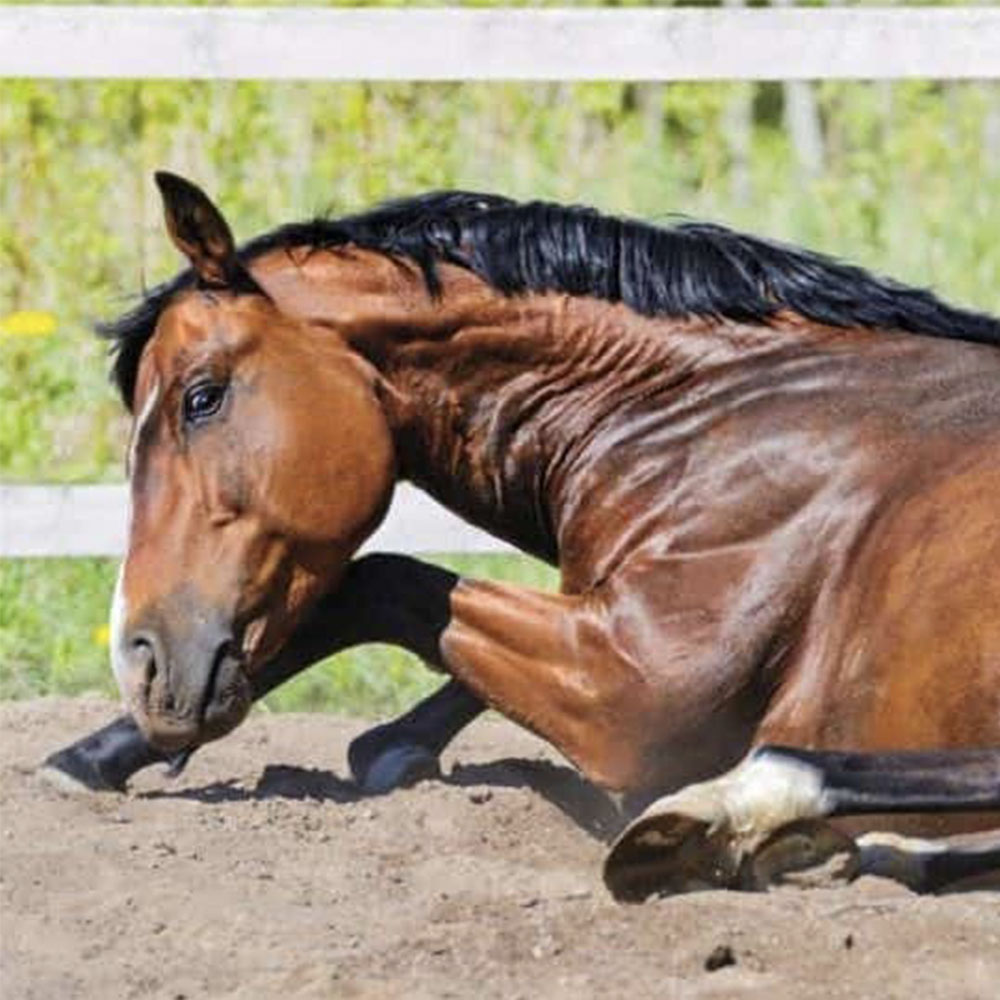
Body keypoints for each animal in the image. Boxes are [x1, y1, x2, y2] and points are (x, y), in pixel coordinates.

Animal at [44, 171, 1000, 899]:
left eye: (201, 397)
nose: (142, 662)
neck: (712, 416)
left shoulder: (634, 690)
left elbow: (384, 583)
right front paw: (98, 753)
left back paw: (736, 818)